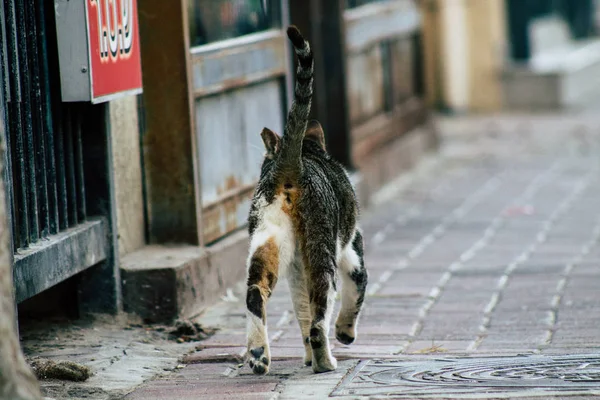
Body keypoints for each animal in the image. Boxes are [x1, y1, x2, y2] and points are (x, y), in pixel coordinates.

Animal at [245, 25, 368, 376]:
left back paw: (259, 356)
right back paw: (326, 362)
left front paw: (306, 358)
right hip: (322, 250)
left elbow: (300, 314)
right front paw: (344, 334)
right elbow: (356, 292)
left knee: (256, 293)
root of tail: (293, 165)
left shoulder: (295, 272)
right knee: (319, 317)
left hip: (267, 238)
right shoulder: (352, 246)